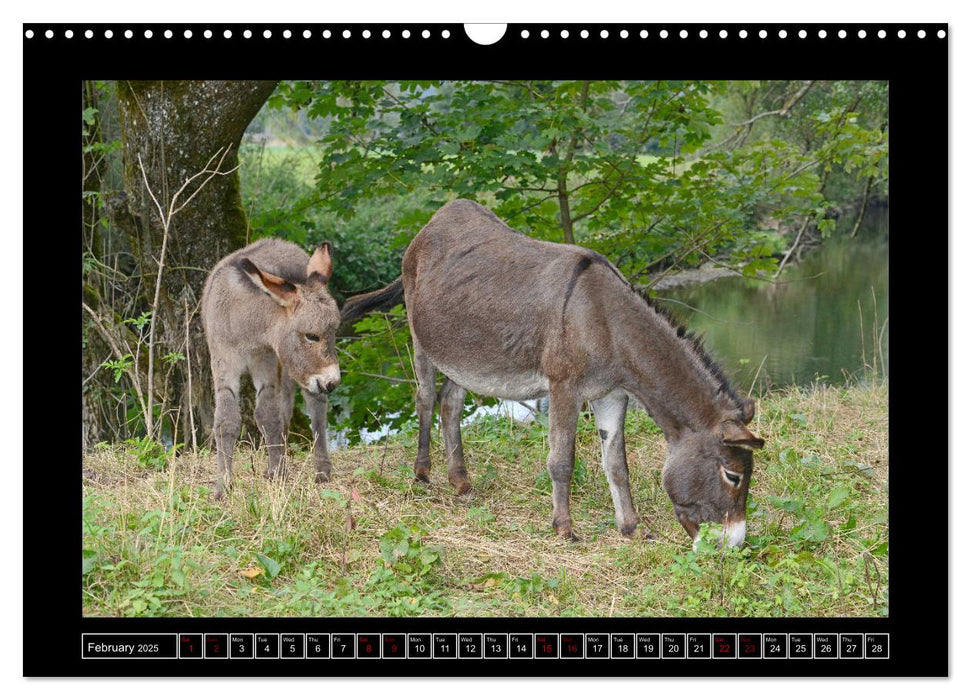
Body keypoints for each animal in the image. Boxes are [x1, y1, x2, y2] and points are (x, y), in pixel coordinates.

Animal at [201, 239, 342, 498]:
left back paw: (321, 468)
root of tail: (282, 243)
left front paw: (278, 474)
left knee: (314, 408)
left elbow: (267, 414)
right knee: (286, 409)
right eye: (311, 336)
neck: (245, 320)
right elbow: (226, 420)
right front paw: (223, 485)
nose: (332, 382)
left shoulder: (264, 359)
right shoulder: (223, 361)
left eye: (334, 333)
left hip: (294, 370)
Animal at [346, 200, 764, 544]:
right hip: (421, 339)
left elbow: (617, 464)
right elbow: (562, 461)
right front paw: (564, 527)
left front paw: (631, 527)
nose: (735, 545)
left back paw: (461, 482)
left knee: (450, 404)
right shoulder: (564, 387)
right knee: (426, 399)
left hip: (464, 354)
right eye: (733, 476)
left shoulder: (612, 394)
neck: (607, 322)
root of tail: (431, 224)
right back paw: (422, 474)